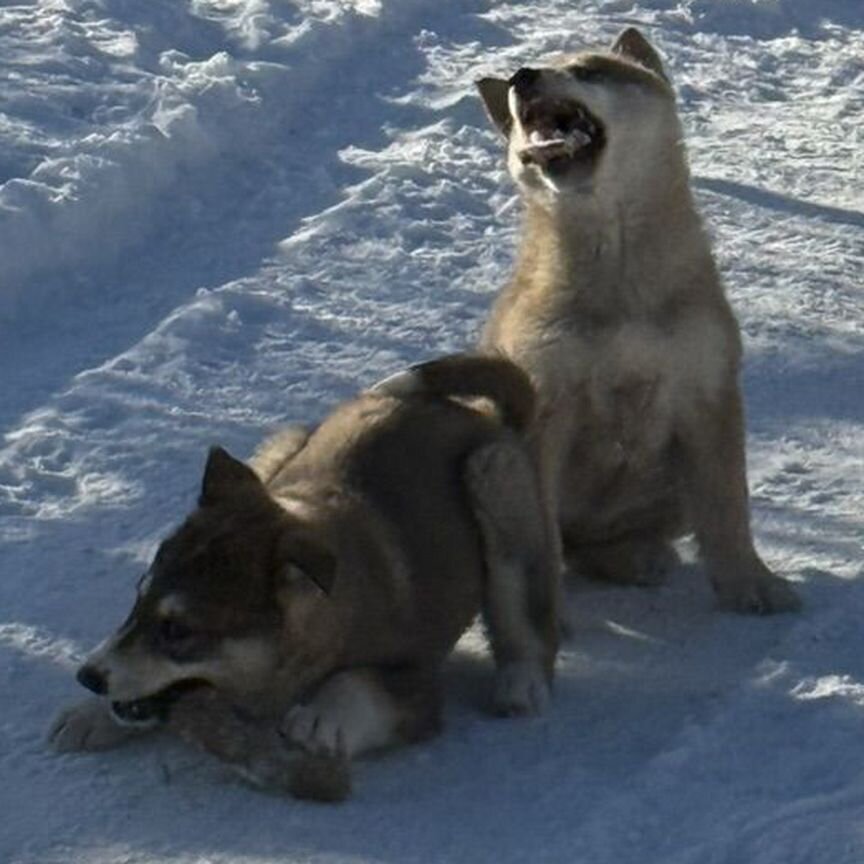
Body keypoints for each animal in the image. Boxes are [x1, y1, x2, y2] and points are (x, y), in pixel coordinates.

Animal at [49, 354, 560, 800]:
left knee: (524, 619)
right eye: (137, 600)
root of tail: (479, 416)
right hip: (279, 449)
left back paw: (520, 683)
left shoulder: (415, 684)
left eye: (178, 630)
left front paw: (321, 717)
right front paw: (92, 716)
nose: (87, 677)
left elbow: (357, 684)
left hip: (494, 481)